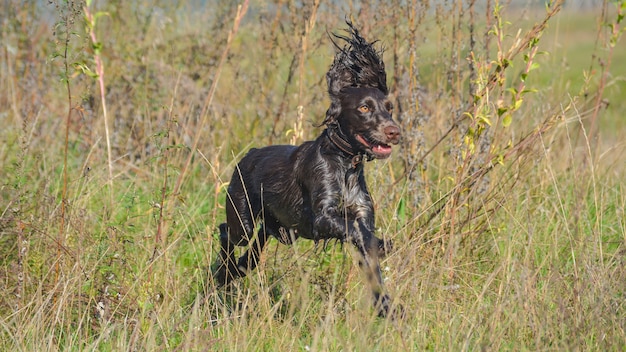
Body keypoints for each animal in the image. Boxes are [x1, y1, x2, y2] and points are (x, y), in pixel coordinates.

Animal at [213, 22, 400, 320]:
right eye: (364, 107)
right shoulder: (322, 217)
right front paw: (381, 244)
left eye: (389, 108)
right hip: (242, 220)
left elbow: (371, 261)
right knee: (226, 232)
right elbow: (359, 232)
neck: (345, 165)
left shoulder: (362, 213)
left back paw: (233, 271)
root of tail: (251, 153)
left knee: (253, 252)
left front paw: (386, 308)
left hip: (278, 229)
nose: (394, 131)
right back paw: (222, 272)